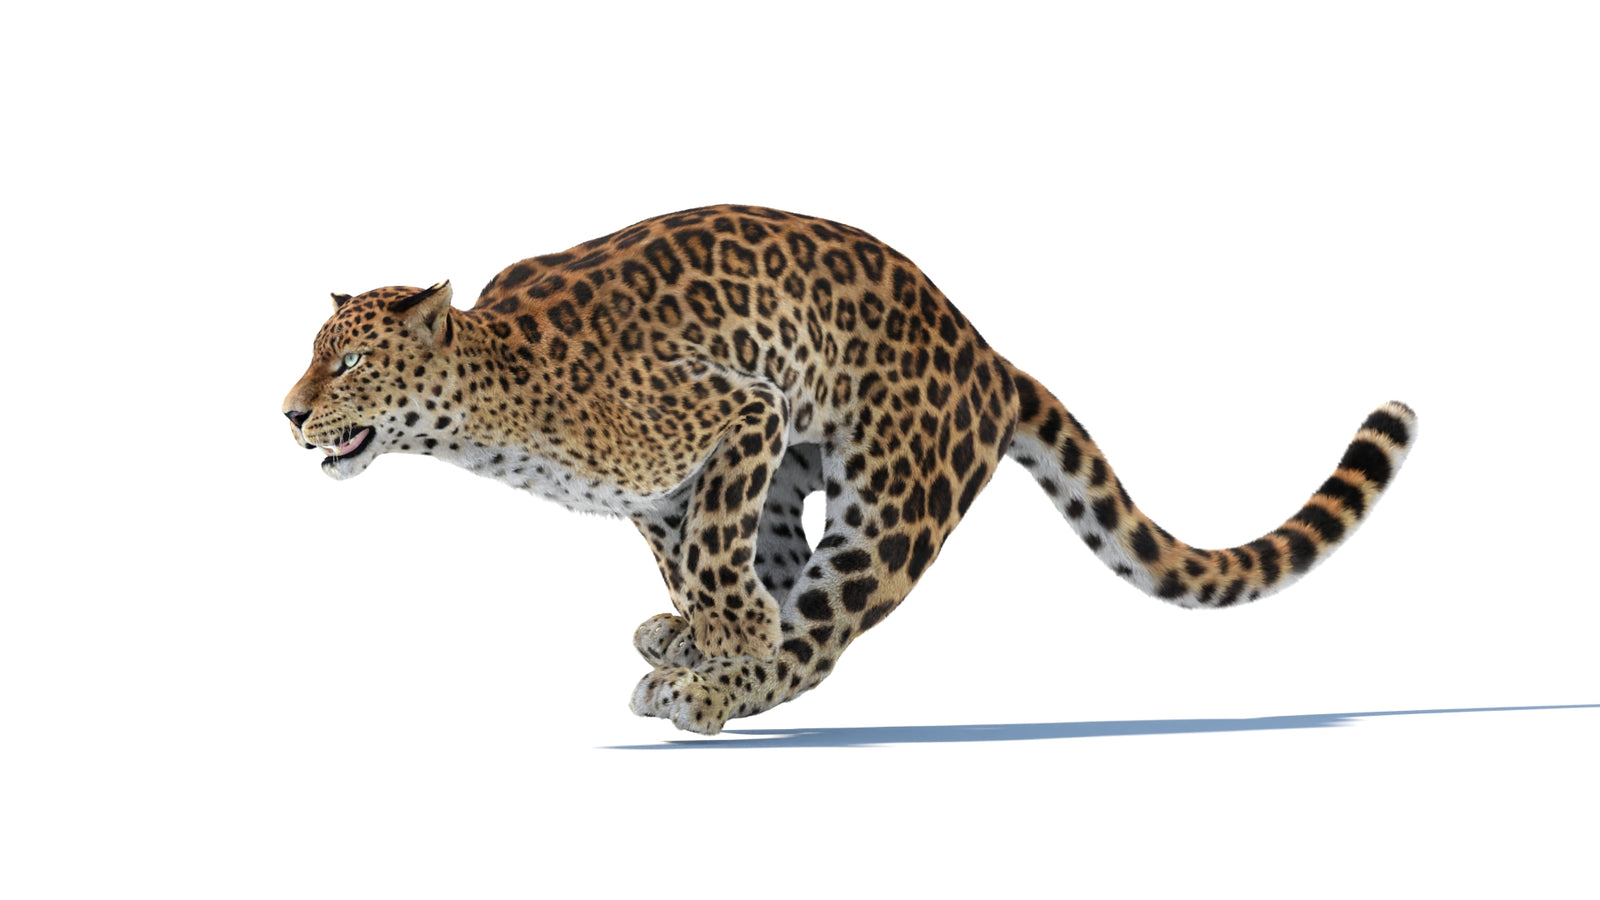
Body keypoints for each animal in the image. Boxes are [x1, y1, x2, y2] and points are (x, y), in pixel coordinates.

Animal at [283, 205, 1416, 735]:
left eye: (348, 363)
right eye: (313, 355)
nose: (288, 414)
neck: (492, 412)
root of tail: (986, 352)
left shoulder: (741, 408)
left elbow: (715, 556)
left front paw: (723, 636)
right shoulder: (678, 481)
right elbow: (691, 554)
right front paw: (701, 624)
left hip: (889, 504)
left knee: (821, 634)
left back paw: (705, 687)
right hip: (804, 474)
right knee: (791, 581)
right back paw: (695, 648)